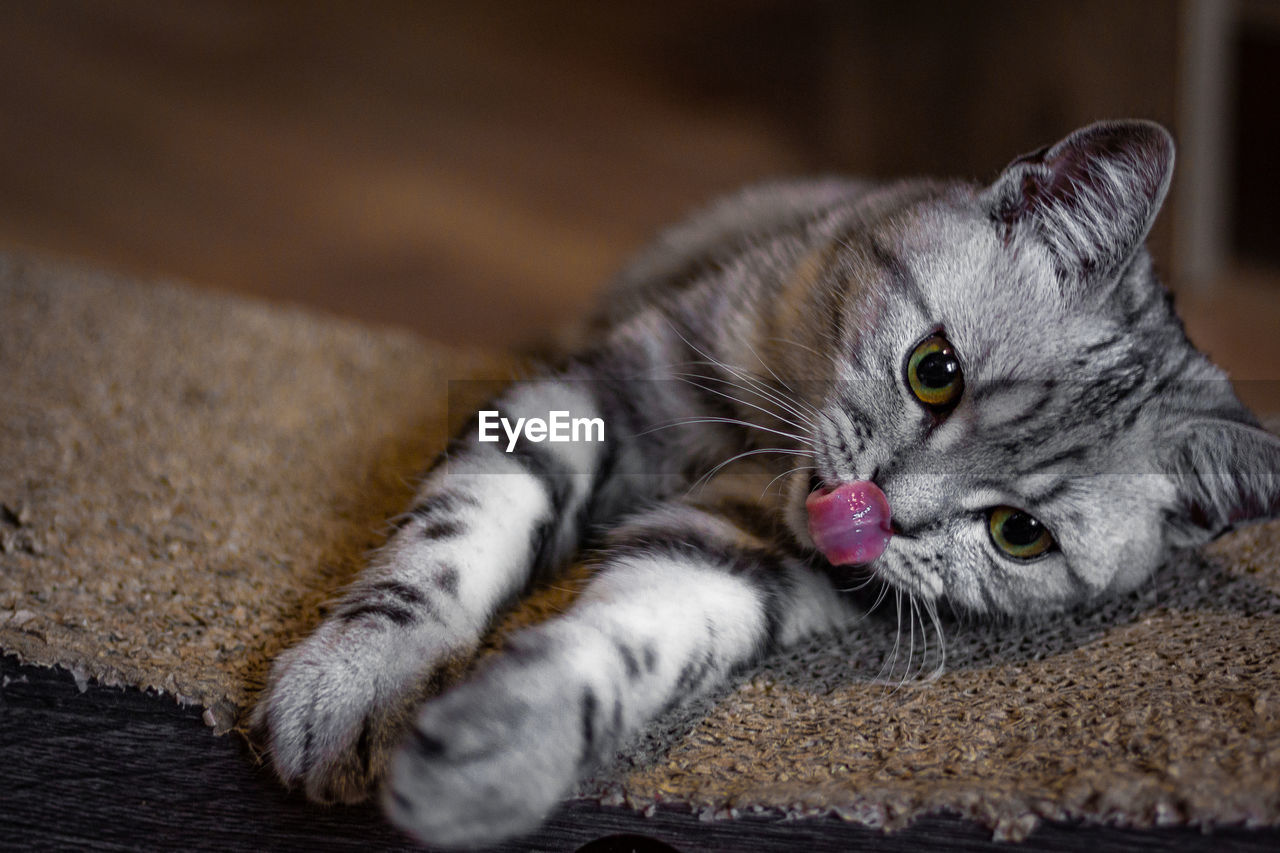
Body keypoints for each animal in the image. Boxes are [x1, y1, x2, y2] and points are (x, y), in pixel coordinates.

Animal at [247, 119, 1280, 845]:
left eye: (1019, 533)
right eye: (934, 370)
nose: (880, 513)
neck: (758, 462)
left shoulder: (726, 559)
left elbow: (626, 643)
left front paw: (499, 753)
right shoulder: (599, 392)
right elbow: (457, 532)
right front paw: (356, 684)